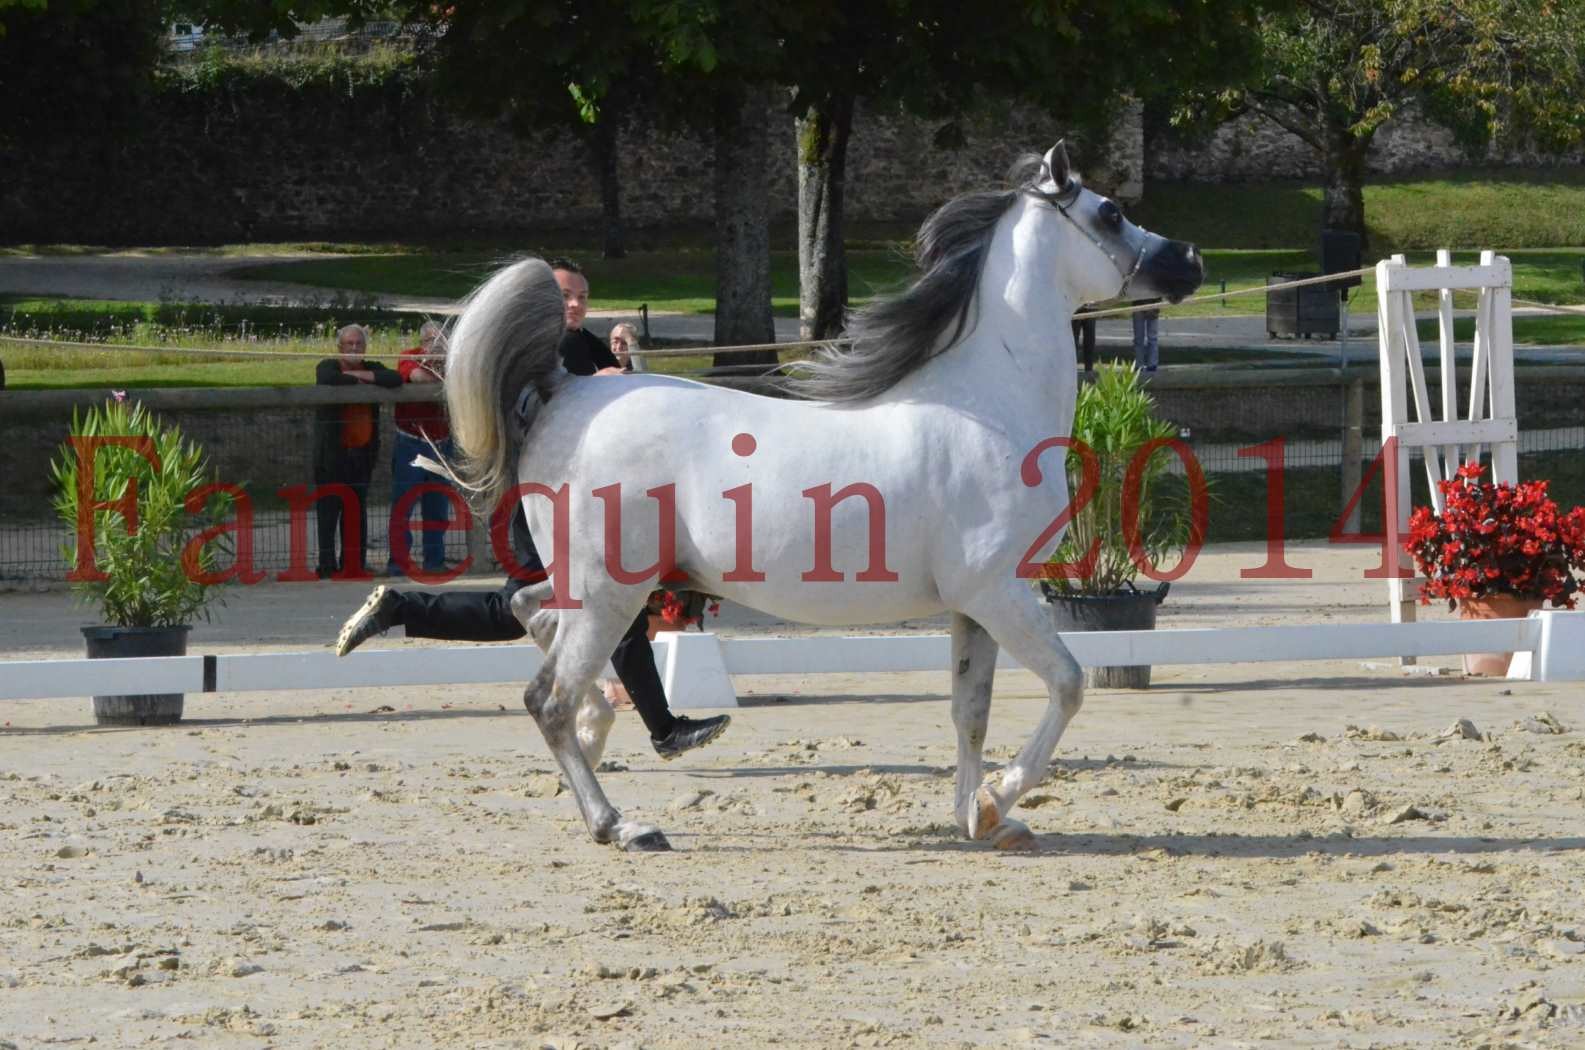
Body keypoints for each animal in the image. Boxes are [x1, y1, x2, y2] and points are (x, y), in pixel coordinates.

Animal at [440, 144, 1191, 856]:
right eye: (1110, 214)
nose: (1188, 261)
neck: (987, 407)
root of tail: (566, 387)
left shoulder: (973, 606)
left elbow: (969, 712)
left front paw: (979, 816)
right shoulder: (999, 592)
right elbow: (1068, 683)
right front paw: (997, 800)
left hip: (591, 585)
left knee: (529, 612)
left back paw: (599, 730)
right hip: (609, 591)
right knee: (547, 697)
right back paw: (620, 824)